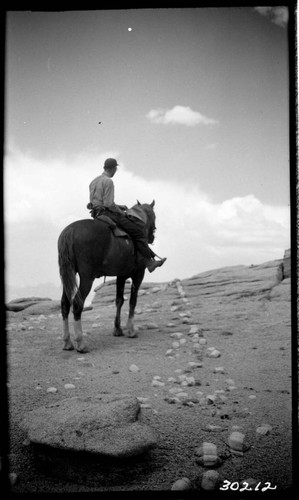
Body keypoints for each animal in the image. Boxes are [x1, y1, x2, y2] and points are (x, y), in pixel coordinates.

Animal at [58, 201, 157, 354]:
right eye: (154, 216)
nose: (152, 236)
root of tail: (70, 231)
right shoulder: (138, 273)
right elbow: (132, 301)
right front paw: (131, 330)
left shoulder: (121, 275)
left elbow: (119, 300)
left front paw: (118, 329)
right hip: (87, 278)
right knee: (77, 304)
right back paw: (80, 343)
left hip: (68, 275)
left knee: (65, 304)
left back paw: (67, 342)